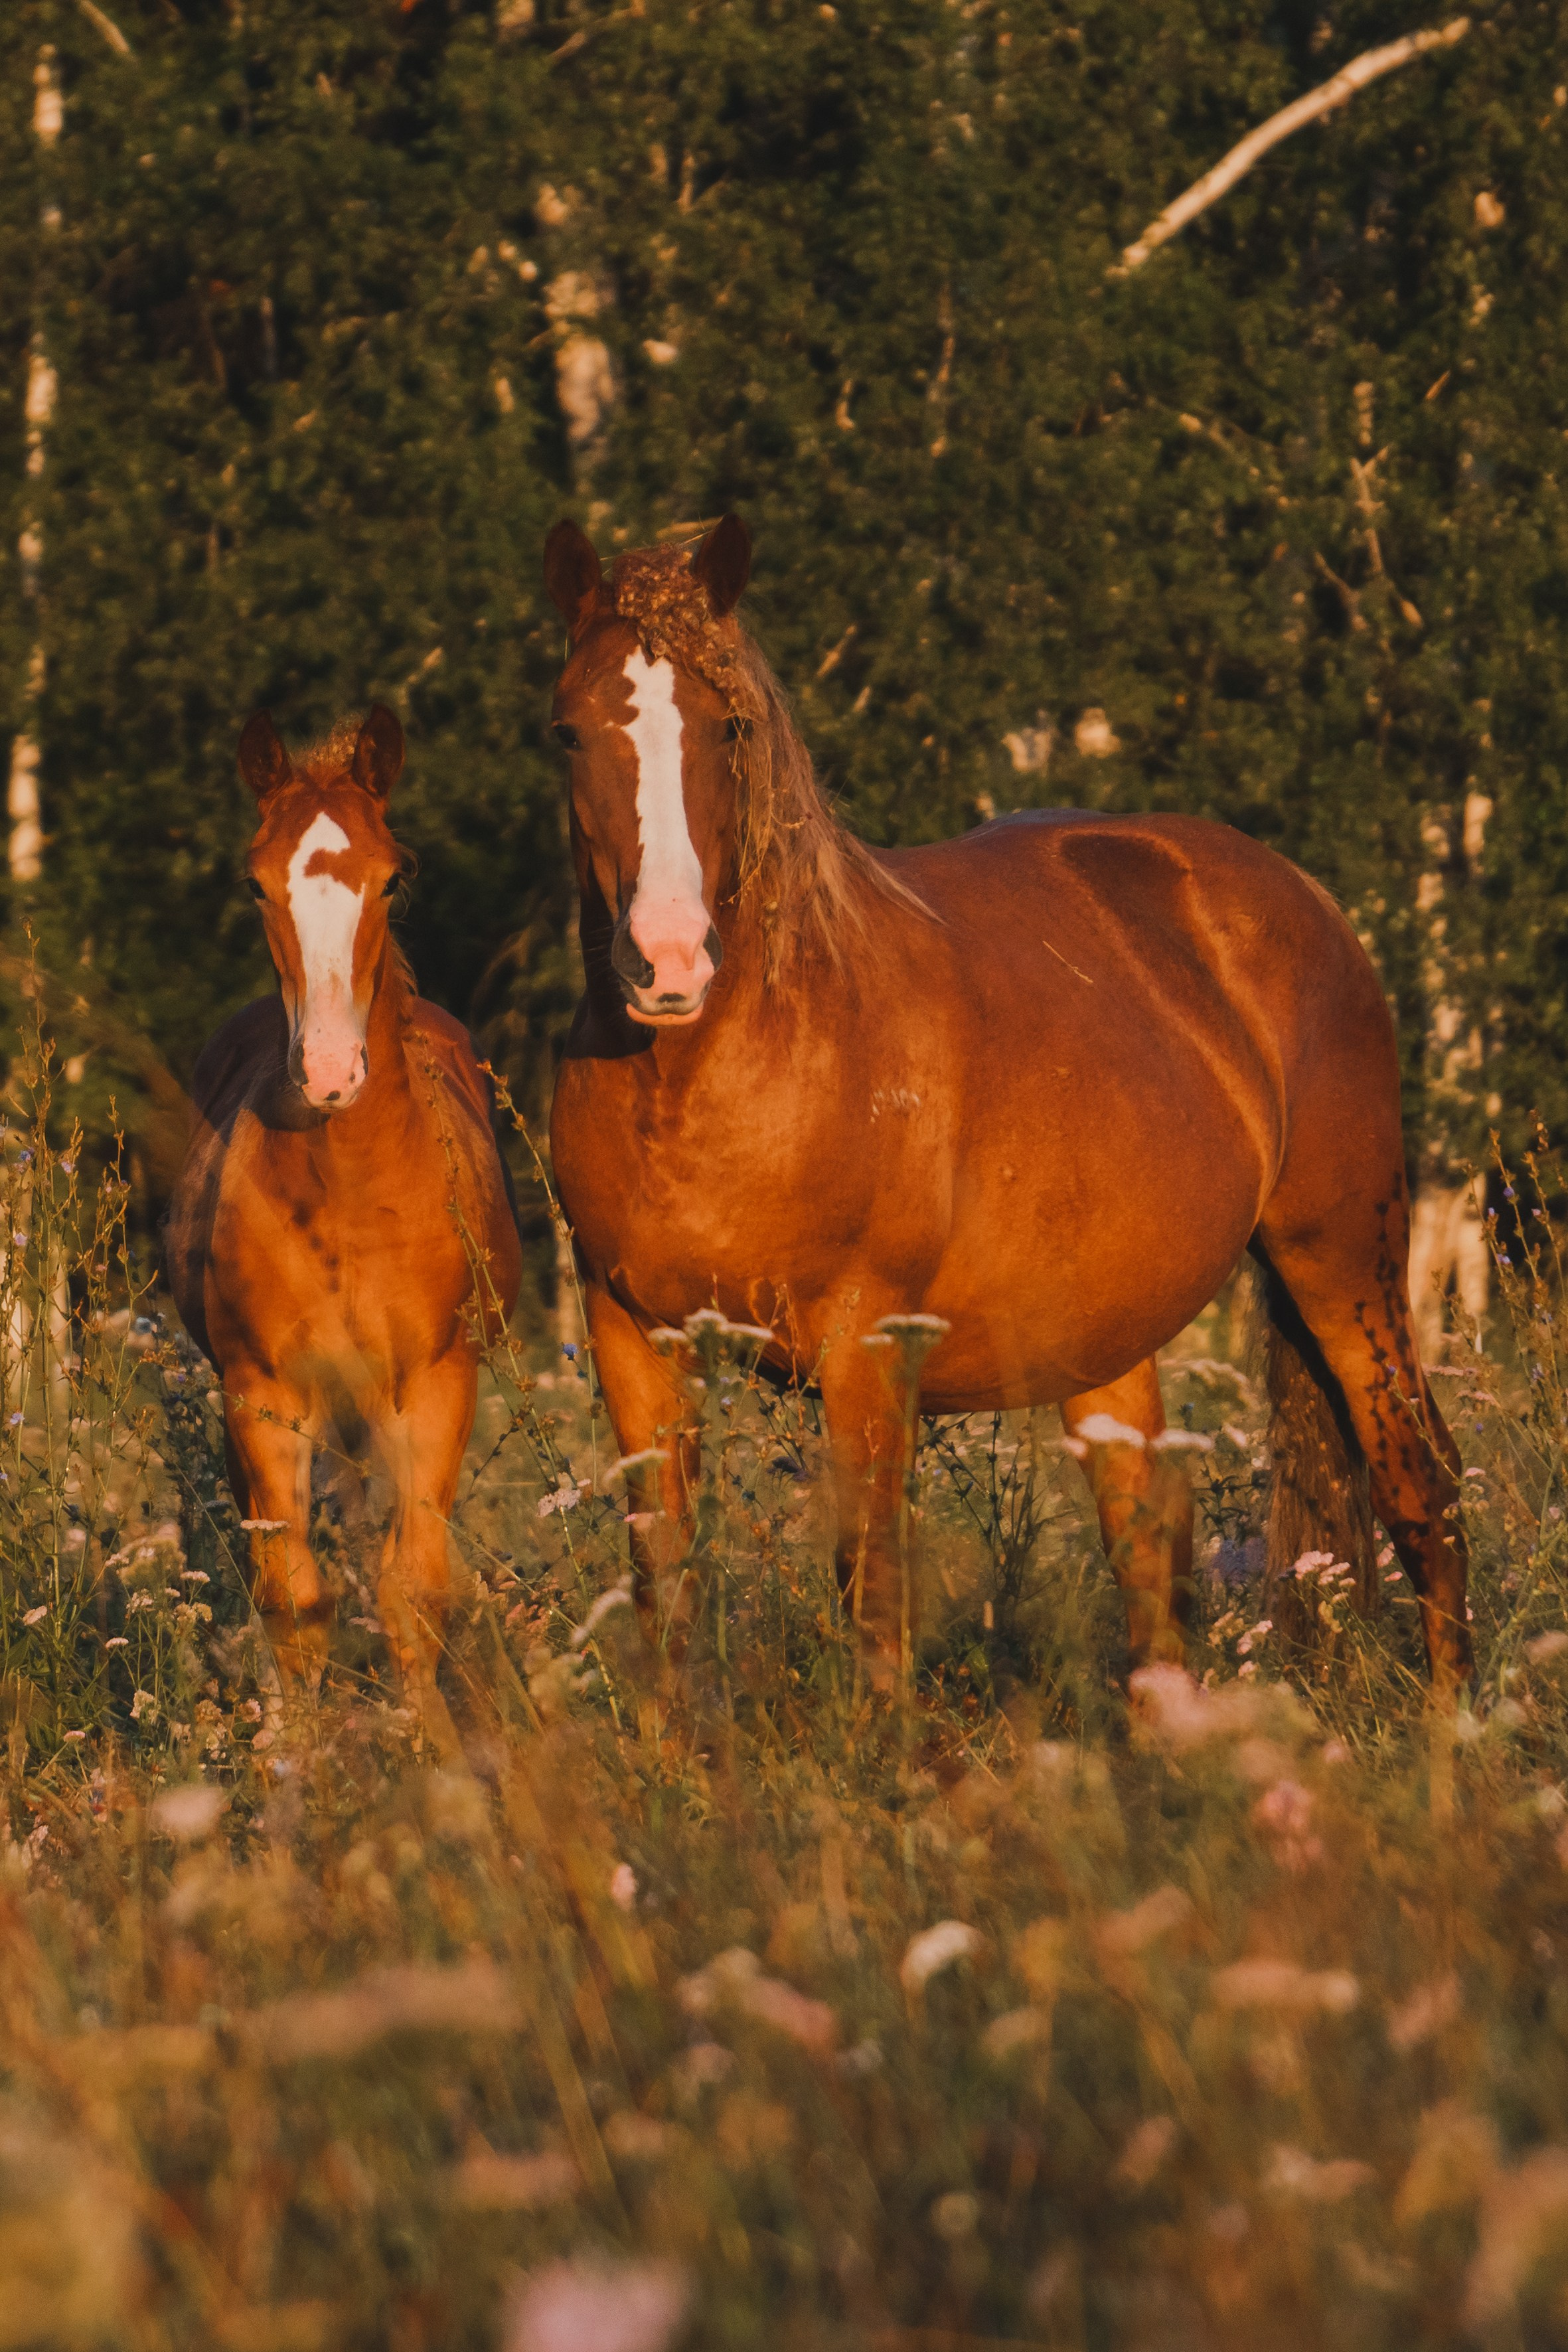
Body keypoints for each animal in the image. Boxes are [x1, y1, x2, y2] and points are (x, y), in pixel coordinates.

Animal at [166, 706, 522, 1745]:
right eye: (255, 880)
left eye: (393, 874)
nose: (328, 1070)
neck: (353, 1195)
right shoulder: (263, 1393)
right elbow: (294, 1596)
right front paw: (295, 1756)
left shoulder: (436, 1387)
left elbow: (412, 1587)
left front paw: (434, 1752)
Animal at [541, 514, 1472, 1697]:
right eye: (568, 733)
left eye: (730, 725)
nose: (664, 961)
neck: (717, 1075)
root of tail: (1296, 897)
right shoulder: (630, 1337)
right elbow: (662, 1581)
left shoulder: (867, 1346)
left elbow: (872, 1587)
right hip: (1113, 1342)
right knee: (1147, 1552)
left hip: (1343, 1263)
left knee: (1421, 1486)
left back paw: (1454, 1728)